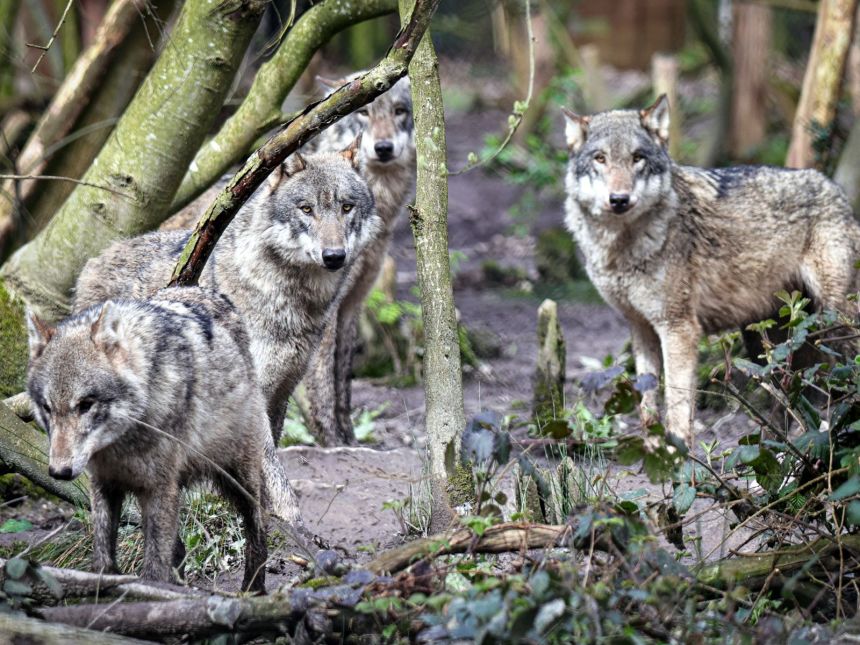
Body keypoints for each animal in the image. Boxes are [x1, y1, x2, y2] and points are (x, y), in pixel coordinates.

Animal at [27, 287, 268, 592]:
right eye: (47, 408)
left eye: (85, 405)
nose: (59, 472)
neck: (121, 444)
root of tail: (211, 292)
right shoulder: (104, 484)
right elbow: (102, 555)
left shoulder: (158, 488)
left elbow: (153, 570)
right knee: (178, 548)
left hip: (237, 477)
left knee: (259, 527)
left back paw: (253, 591)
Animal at [74, 146, 381, 523]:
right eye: (306, 208)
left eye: (346, 207)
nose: (334, 256)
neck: (291, 301)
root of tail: (93, 261)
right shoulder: (253, 396)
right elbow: (271, 464)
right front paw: (288, 517)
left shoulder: (281, 390)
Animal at [302, 74, 416, 445]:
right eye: (363, 112)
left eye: (399, 111)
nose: (383, 147)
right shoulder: (324, 311)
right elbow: (322, 384)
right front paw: (332, 444)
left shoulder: (352, 303)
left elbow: (343, 380)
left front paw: (350, 439)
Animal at [561, 95, 860, 445]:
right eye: (600, 158)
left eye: (637, 158)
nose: (619, 199)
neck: (623, 247)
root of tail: (836, 190)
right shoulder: (641, 328)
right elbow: (648, 407)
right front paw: (651, 453)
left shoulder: (679, 328)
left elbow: (677, 405)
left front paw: (677, 454)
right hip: (766, 342)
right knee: (796, 398)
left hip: (834, 320)